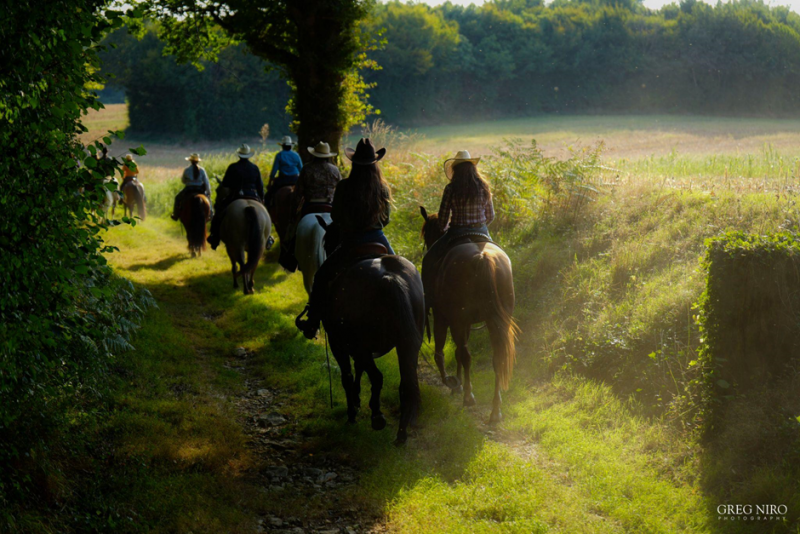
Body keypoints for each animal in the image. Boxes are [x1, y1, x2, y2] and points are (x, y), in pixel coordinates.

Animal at [316, 220, 424, 446]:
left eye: (327, 241)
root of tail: (389, 277)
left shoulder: (339, 345)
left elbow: (348, 376)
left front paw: (352, 411)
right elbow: (358, 370)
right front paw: (357, 400)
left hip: (361, 346)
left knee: (377, 377)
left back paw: (377, 416)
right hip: (406, 346)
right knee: (406, 385)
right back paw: (401, 434)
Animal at [418, 207, 520, 426]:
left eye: (427, 234)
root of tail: (482, 257)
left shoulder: (444, 317)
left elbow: (442, 352)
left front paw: (455, 385)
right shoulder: (464, 323)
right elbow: (457, 353)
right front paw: (458, 386)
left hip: (458, 319)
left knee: (465, 355)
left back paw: (469, 398)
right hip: (494, 322)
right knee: (496, 359)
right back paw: (495, 411)